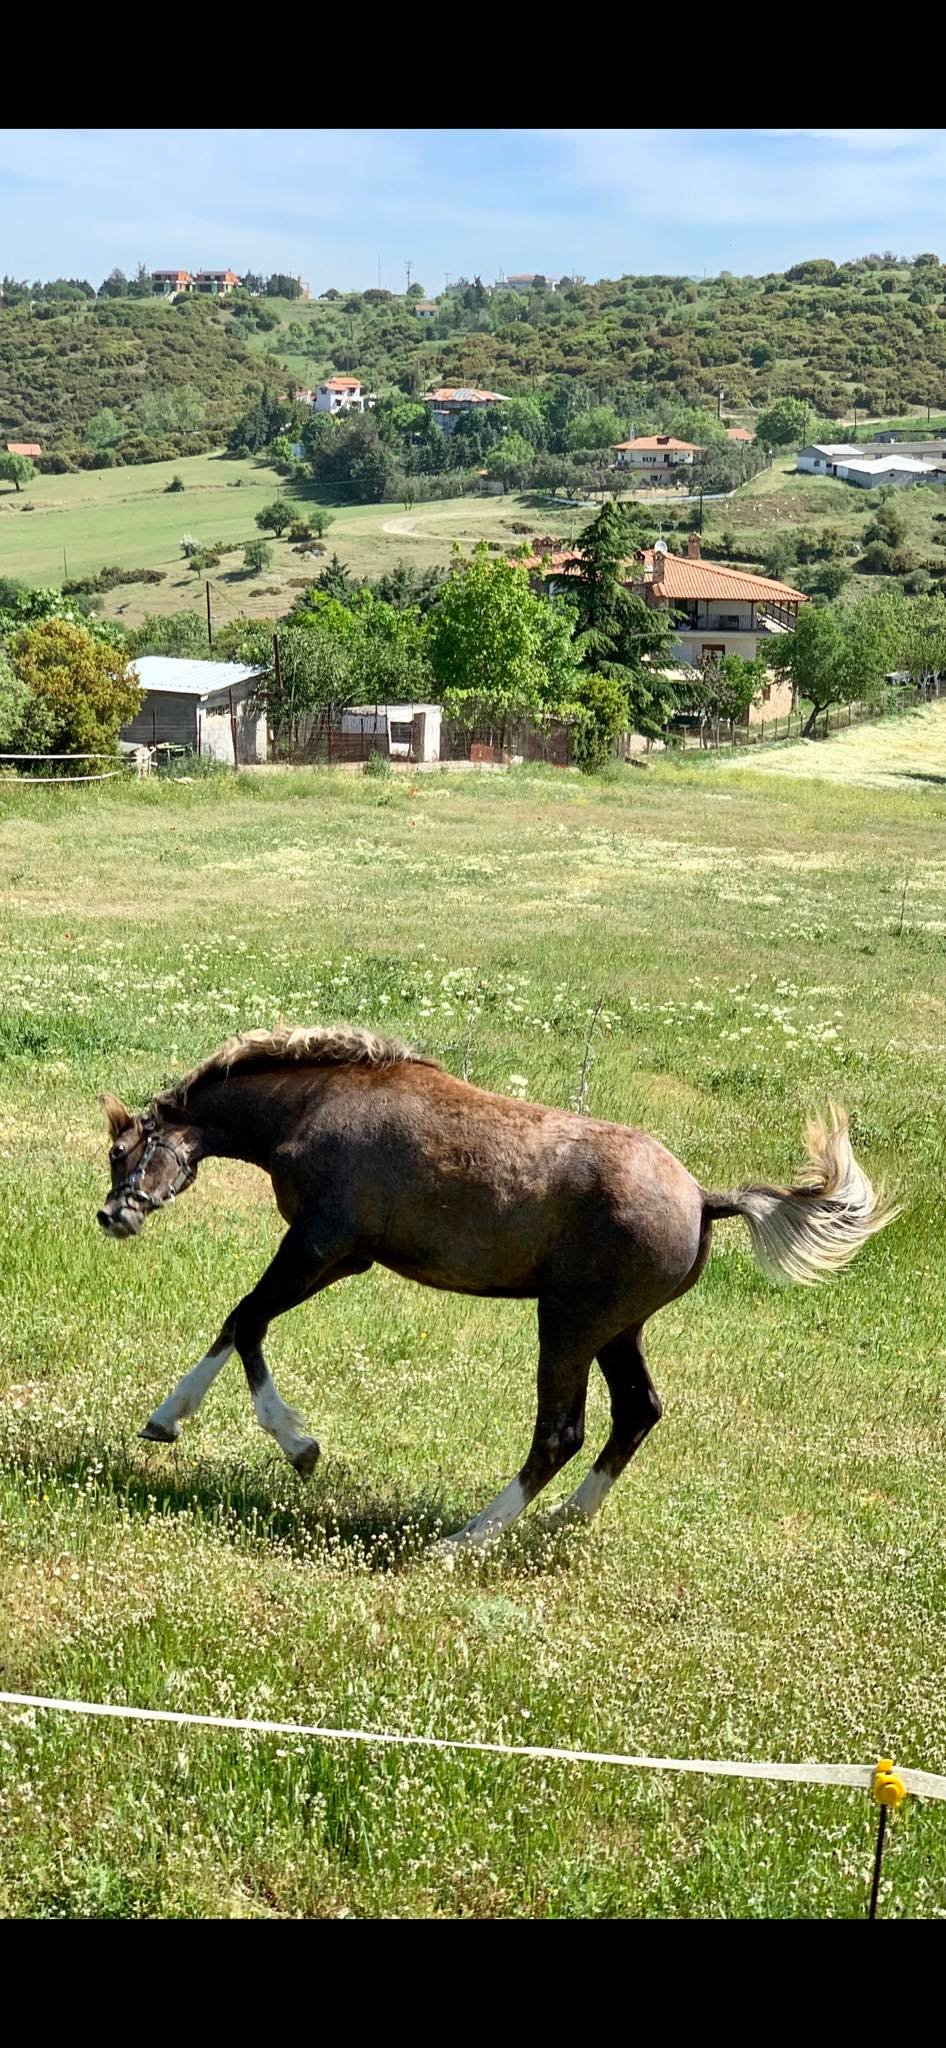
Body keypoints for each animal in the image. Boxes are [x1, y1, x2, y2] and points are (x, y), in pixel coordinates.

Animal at [97, 1026, 895, 1550]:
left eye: (124, 1149)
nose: (112, 1215)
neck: (320, 1106)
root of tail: (703, 1197)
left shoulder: (321, 1247)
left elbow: (248, 1320)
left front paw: (295, 1444)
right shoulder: (331, 1259)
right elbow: (240, 1323)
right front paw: (171, 1420)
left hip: (569, 1326)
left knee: (561, 1433)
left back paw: (464, 1540)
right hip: (616, 1330)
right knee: (637, 1412)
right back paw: (561, 1521)